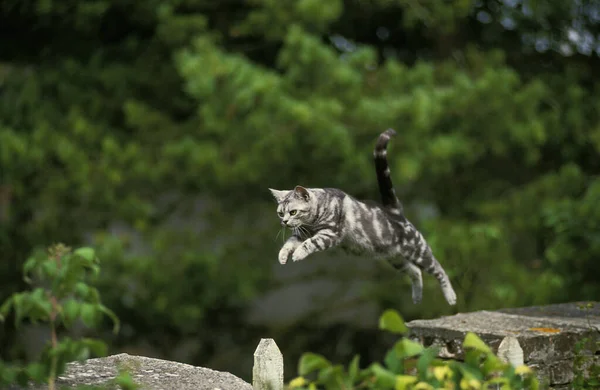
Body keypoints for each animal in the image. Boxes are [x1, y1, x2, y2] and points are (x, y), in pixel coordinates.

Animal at [270, 128, 458, 304]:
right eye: (280, 213)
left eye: (293, 212)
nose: (284, 222)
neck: (314, 219)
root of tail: (395, 211)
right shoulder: (301, 234)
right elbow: (288, 244)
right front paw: (282, 256)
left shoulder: (329, 234)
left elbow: (309, 244)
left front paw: (298, 254)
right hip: (396, 259)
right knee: (416, 272)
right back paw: (417, 297)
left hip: (418, 251)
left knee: (439, 269)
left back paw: (450, 296)